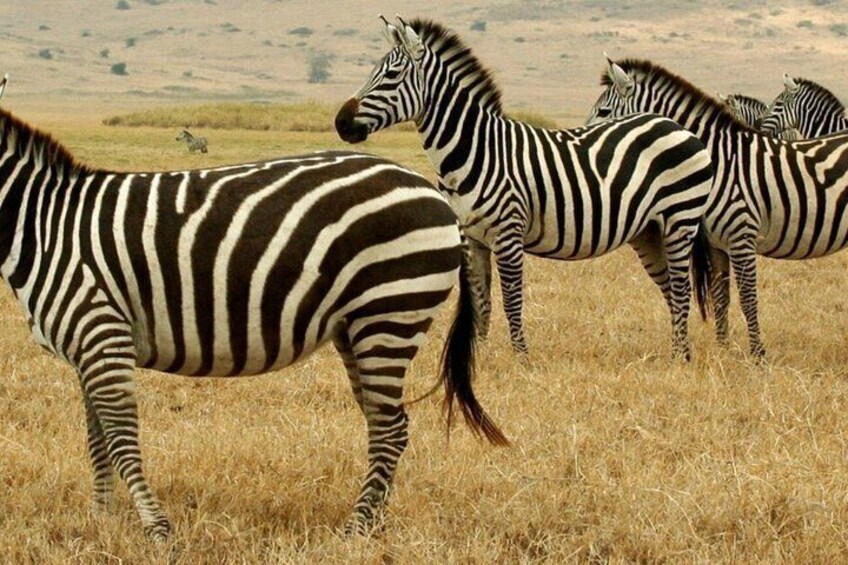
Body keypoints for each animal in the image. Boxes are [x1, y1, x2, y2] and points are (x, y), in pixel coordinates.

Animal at [0, 107, 507, 540]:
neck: (42, 224)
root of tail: (432, 193)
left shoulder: (101, 332)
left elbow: (120, 439)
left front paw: (157, 529)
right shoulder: (88, 347)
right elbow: (98, 439)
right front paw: (101, 519)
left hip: (389, 312)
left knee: (388, 428)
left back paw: (356, 529)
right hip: (357, 326)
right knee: (389, 424)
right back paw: (374, 522)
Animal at [335, 17, 716, 360]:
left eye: (391, 76)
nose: (341, 123)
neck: (477, 148)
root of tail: (673, 124)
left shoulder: (508, 233)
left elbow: (511, 300)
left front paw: (522, 359)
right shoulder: (472, 240)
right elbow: (482, 301)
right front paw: (479, 358)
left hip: (679, 220)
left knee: (681, 288)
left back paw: (678, 357)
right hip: (649, 231)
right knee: (671, 290)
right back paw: (678, 352)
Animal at [588, 57, 848, 358]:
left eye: (604, 111)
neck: (718, 161)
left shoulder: (742, 235)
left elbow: (747, 298)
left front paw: (758, 355)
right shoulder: (717, 243)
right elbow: (722, 297)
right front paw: (722, 350)